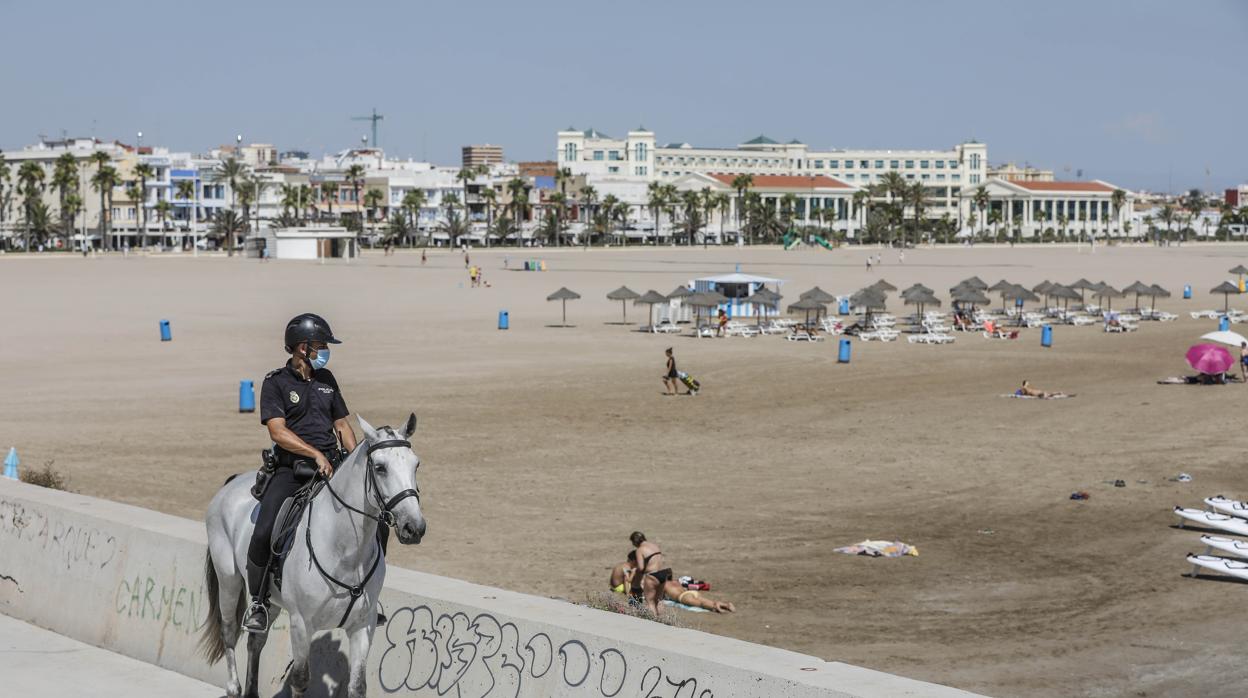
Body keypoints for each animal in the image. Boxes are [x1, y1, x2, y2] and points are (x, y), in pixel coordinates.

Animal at [198, 414, 424, 698]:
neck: (347, 553)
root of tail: (233, 482)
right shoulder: (301, 625)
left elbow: (357, 686)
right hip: (229, 579)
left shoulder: (363, 626)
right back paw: (233, 687)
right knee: (229, 631)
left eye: (416, 464)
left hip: (269, 599)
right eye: (381, 467)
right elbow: (300, 679)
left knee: (256, 640)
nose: (414, 527)